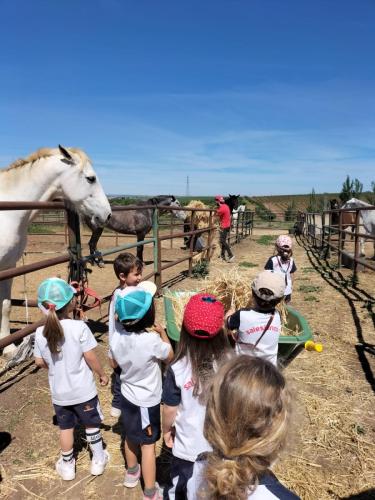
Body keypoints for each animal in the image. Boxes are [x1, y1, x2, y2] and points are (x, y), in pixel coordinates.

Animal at [0, 144, 111, 352]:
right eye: (90, 178)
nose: (107, 214)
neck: (8, 214)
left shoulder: (8, 267)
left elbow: (5, 306)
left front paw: (9, 349)